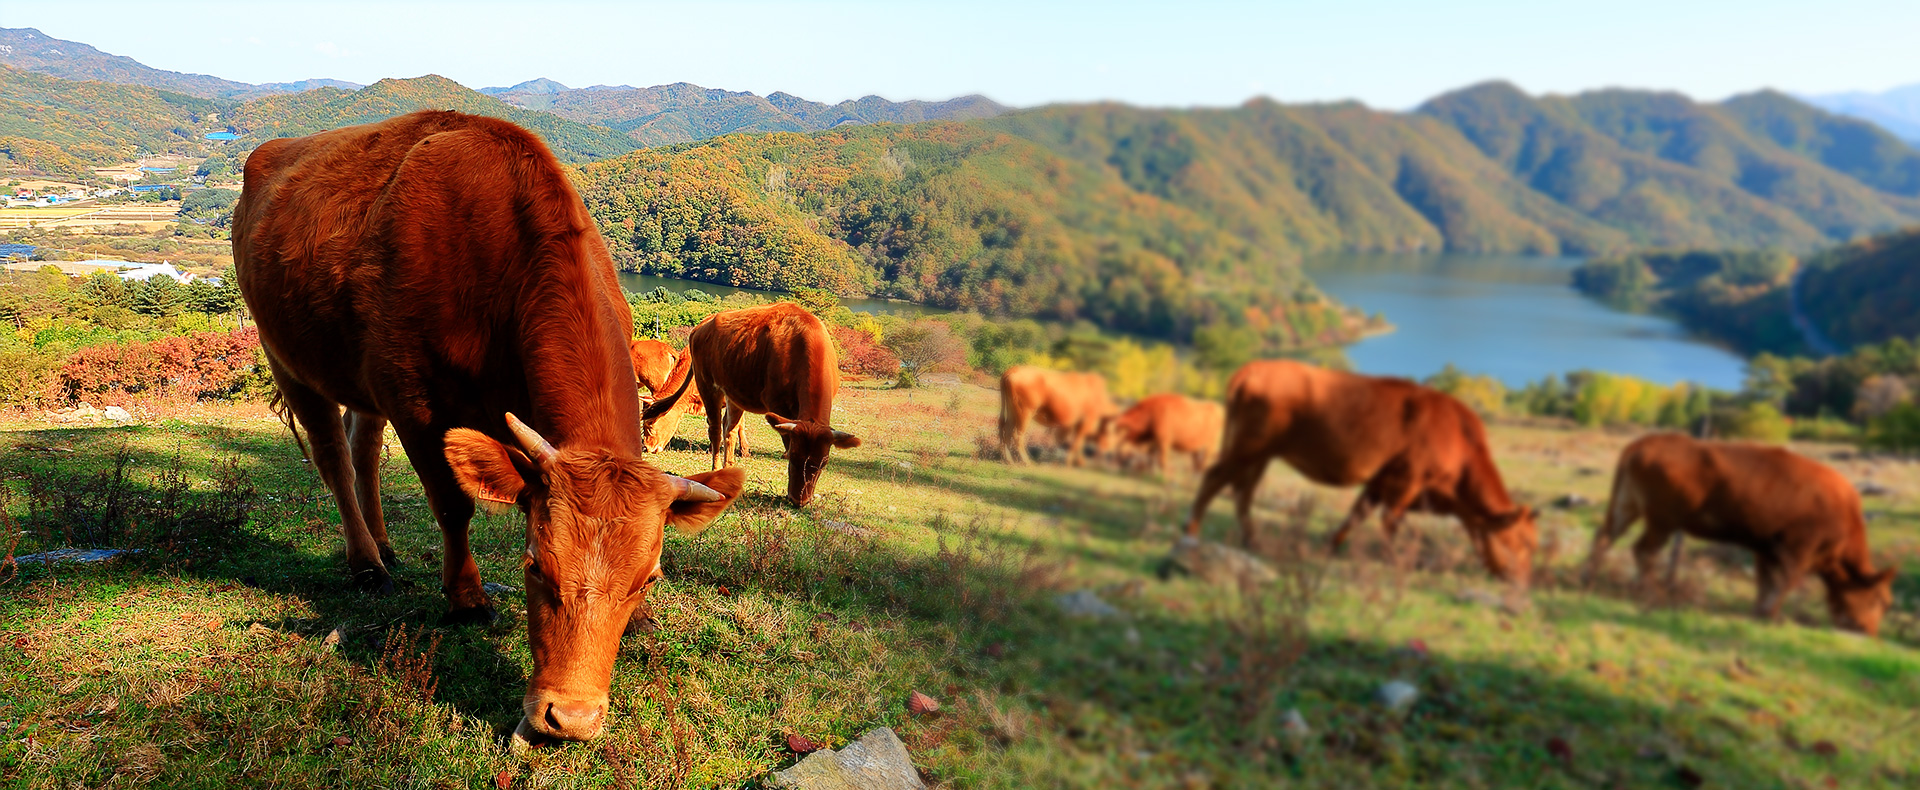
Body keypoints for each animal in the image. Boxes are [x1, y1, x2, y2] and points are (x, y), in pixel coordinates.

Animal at [232, 111, 741, 741]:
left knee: (363, 447)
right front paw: (467, 599)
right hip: (287, 356)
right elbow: (453, 506)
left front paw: (642, 617)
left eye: (648, 578)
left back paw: (384, 545)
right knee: (334, 458)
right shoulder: (415, 402)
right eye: (534, 565)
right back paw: (367, 564)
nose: (570, 717)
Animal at [641, 303, 860, 507]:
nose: (799, 500)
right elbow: (784, 440)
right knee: (716, 430)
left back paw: (729, 468)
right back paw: (716, 469)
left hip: (733, 392)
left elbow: (738, 427)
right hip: (708, 386)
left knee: (728, 428)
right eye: (794, 459)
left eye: (823, 463)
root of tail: (703, 324)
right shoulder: (777, 407)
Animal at [1175, 361, 1536, 584]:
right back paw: (1192, 531)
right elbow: (1389, 523)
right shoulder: (1407, 481)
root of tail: (1257, 367)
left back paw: (1253, 540)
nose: (1523, 582)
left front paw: (1329, 548)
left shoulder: (1379, 482)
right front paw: (1393, 560)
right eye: (1525, 543)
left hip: (1260, 455)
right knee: (1214, 478)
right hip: (1248, 448)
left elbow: (1356, 515)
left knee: (1242, 491)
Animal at [1582, 432, 1896, 638]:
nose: (1870, 631)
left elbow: (1765, 582)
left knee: (1605, 536)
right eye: (1880, 599)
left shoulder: (1766, 550)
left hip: (1627, 508)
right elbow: (1783, 583)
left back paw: (1587, 580)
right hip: (1662, 522)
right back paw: (1652, 594)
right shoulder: (1796, 552)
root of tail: (1643, 443)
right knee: (1643, 550)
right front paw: (1772, 616)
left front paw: (1759, 612)